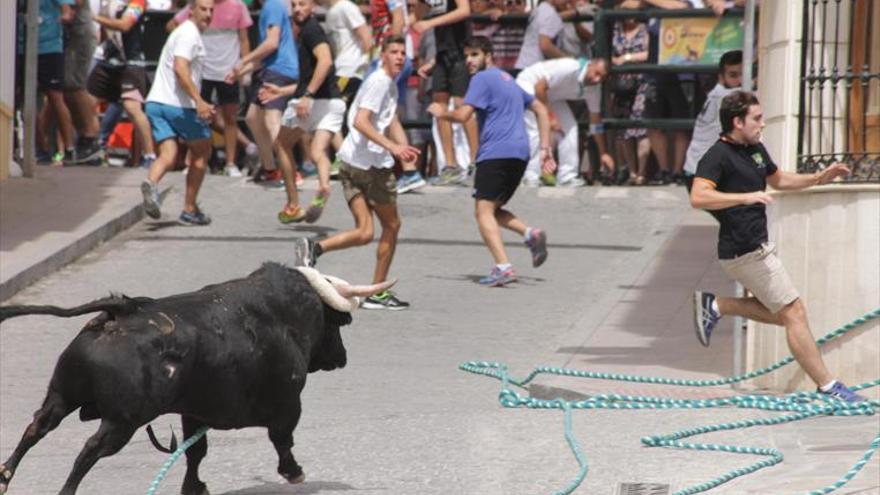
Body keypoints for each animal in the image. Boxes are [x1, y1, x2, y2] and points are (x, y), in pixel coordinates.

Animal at [1, 264, 358, 495]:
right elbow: (283, 440)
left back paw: (5, 476)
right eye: (335, 323)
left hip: (62, 395)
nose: (342, 357)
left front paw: (194, 487)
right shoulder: (287, 405)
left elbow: (195, 452)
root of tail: (124, 310)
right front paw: (294, 472)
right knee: (88, 450)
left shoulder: (194, 412)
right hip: (121, 422)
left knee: (37, 427)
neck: (284, 316)